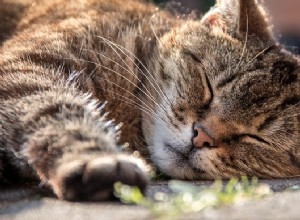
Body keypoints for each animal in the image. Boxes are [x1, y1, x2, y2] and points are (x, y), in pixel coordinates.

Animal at [0, 0, 300, 200]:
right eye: (208, 86)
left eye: (256, 138)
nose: (201, 136)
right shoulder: (27, 68)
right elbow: (55, 112)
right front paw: (94, 158)